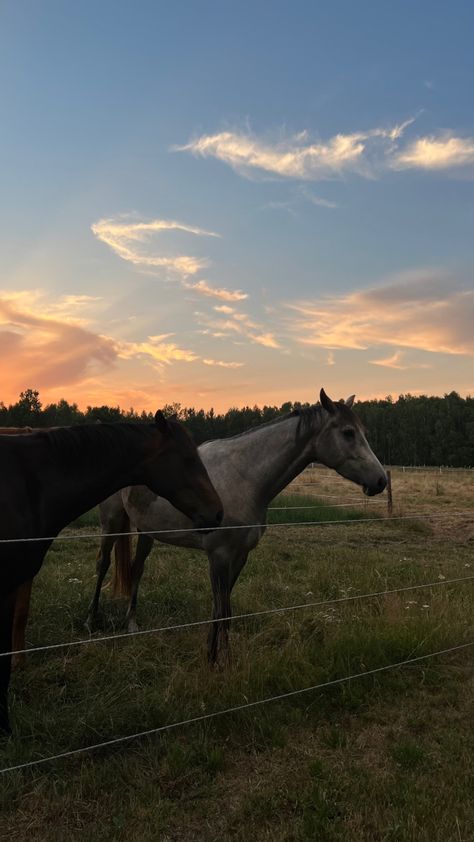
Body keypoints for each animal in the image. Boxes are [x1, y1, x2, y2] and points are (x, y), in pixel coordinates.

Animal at [87, 388, 386, 664]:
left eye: (363, 431)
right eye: (348, 433)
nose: (381, 480)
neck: (245, 477)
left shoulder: (240, 556)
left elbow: (221, 610)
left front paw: (216, 658)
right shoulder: (218, 556)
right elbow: (223, 611)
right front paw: (218, 663)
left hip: (146, 529)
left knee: (136, 569)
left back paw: (132, 624)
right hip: (112, 522)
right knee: (103, 563)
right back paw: (91, 620)